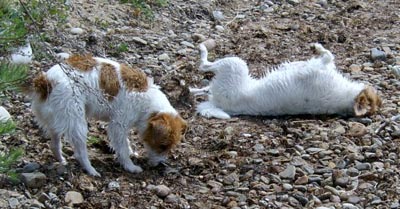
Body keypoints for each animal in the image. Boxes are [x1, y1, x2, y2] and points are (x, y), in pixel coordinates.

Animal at [192, 42, 382, 119]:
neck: (346, 98)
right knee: (203, 84)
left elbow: (327, 54)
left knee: (203, 66)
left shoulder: (319, 66)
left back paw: (201, 48)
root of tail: (219, 104)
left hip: (235, 64)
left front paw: (318, 47)